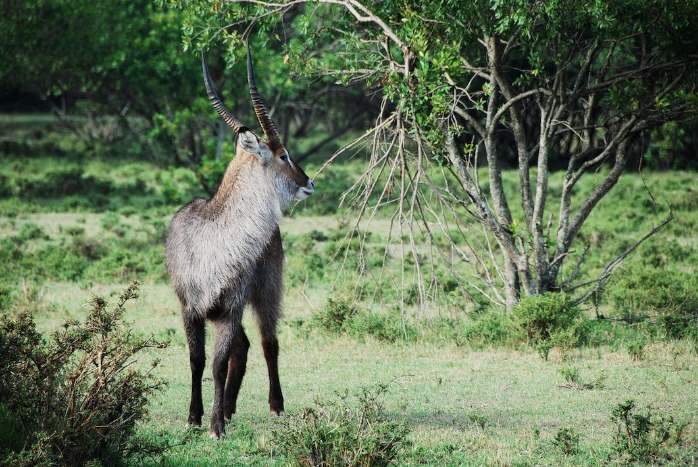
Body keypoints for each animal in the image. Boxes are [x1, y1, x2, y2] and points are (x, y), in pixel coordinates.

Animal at [166, 46, 312, 438]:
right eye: (284, 154)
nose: (309, 182)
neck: (214, 242)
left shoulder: (229, 310)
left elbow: (217, 365)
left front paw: (215, 425)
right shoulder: (191, 309)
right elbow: (197, 360)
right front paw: (195, 416)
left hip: (266, 291)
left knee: (267, 343)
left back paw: (275, 405)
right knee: (244, 347)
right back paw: (230, 407)